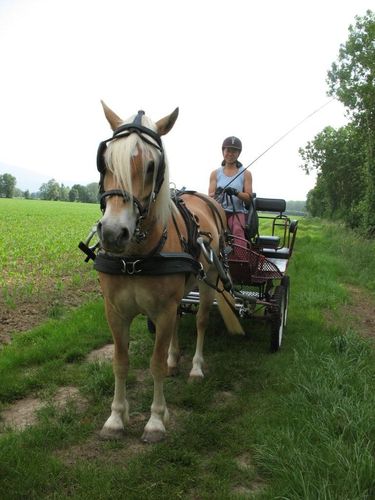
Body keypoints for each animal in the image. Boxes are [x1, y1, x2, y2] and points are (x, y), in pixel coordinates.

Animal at [95, 102, 245, 442]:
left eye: (152, 166)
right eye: (105, 160)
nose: (113, 233)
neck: (135, 258)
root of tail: (211, 201)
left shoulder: (161, 309)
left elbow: (154, 365)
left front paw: (155, 421)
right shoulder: (114, 311)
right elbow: (120, 362)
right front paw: (115, 418)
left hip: (209, 279)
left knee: (200, 320)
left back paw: (195, 367)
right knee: (179, 320)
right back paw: (175, 358)